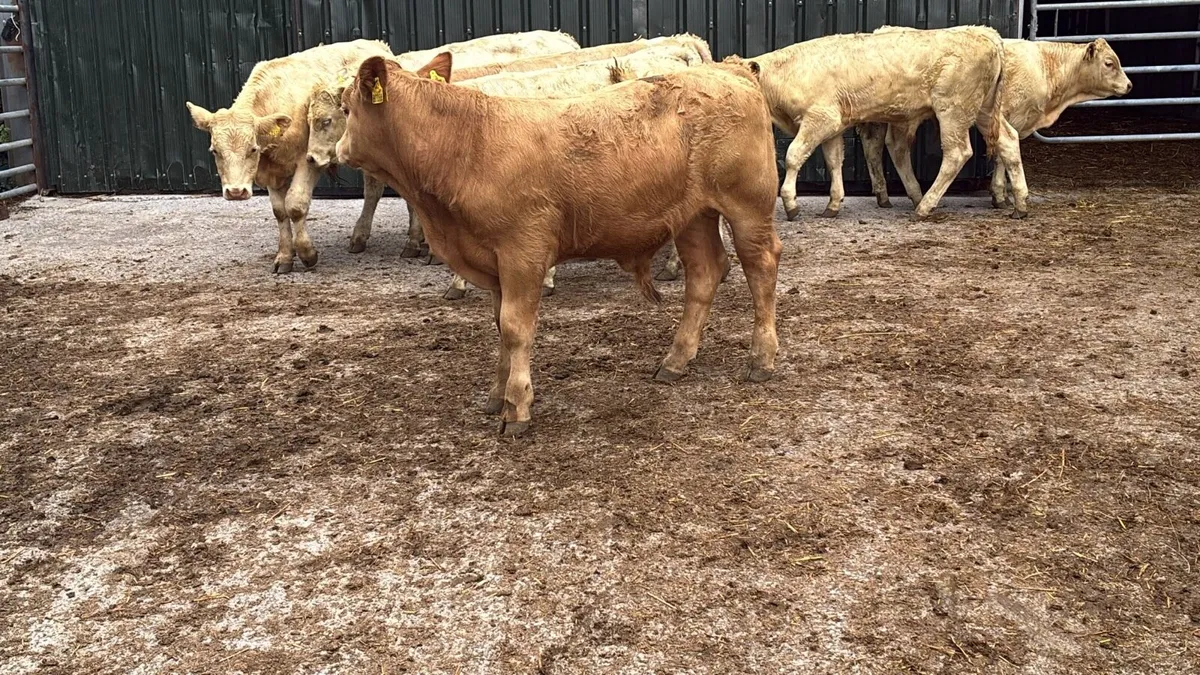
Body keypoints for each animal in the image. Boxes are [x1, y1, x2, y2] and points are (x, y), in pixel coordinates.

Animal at [335, 53, 782, 435]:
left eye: (345, 108)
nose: (338, 151)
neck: (468, 143)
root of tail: (729, 69)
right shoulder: (495, 264)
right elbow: (499, 326)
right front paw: (497, 396)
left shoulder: (522, 253)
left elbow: (516, 329)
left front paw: (517, 407)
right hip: (692, 217)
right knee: (705, 273)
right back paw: (676, 359)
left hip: (748, 206)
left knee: (760, 267)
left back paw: (761, 358)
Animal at [743, 26, 1014, 220]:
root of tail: (984, 34)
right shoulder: (833, 127)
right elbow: (834, 161)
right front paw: (833, 204)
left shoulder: (820, 119)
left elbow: (793, 155)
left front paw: (790, 202)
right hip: (984, 110)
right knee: (1008, 140)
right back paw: (1017, 204)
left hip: (953, 111)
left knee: (957, 153)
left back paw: (924, 206)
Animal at [855, 36, 1132, 212]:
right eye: (1109, 63)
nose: (1129, 85)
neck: (1046, 66)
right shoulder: (1013, 116)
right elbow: (1003, 155)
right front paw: (1000, 195)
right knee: (896, 147)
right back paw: (920, 199)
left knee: (873, 146)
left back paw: (885, 195)